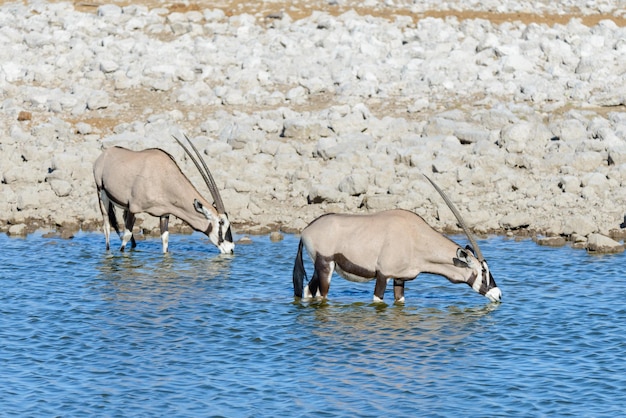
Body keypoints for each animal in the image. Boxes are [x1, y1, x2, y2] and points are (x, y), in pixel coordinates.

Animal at [94, 134, 235, 255]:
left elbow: (165, 240)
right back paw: (108, 250)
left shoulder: (164, 213)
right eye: (221, 223)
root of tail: (105, 154)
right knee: (107, 225)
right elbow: (126, 236)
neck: (164, 177)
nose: (231, 249)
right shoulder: (134, 208)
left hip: (125, 205)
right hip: (102, 193)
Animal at [290, 176, 500, 304]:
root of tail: (306, 230)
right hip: (325, 266)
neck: (415, 237)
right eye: (482, 272)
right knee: (320, 295)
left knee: (308, 290)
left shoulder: (400, 279)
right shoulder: (383, 275)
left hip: (320, 267)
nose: (498, 295)